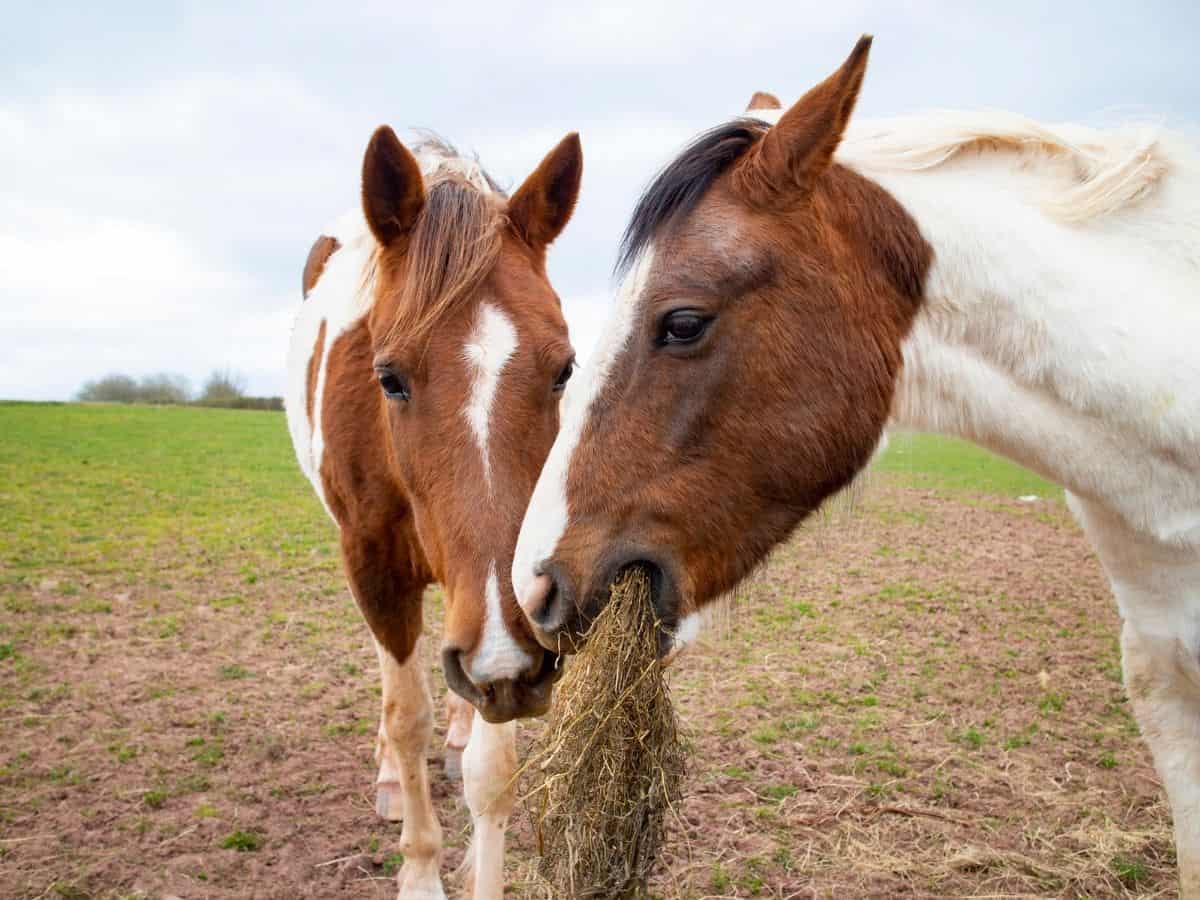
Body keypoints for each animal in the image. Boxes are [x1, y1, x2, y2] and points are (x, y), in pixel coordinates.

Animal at [285, 127, 576, 900]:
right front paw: (419, 869)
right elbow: (405, 715)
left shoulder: (505, 602)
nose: (504, 659)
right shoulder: (374, 565)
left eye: (564, 370)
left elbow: (493, 767)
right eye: (388, 378)